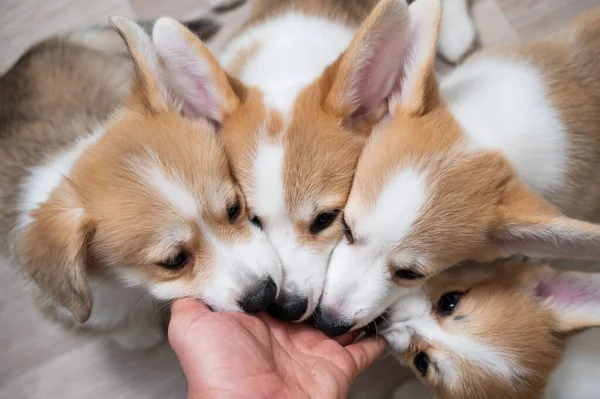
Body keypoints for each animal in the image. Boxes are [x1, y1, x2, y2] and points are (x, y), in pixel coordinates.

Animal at [0, 18, 282, 350]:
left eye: (234, 208)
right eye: (173, 261)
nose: (264, 294)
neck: (131, 288)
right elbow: (133, 334)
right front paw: (148, 333)